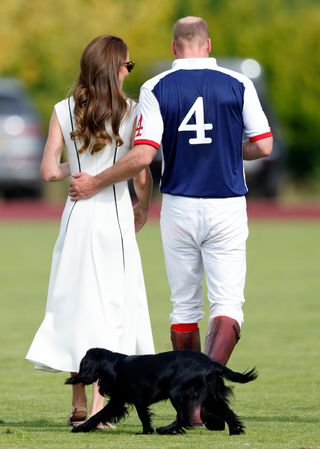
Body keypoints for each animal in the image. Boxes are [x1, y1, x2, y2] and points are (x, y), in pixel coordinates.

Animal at [65, 346, 258, 434]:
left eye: (82, 365)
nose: (74, 378)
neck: (116, 366)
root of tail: (210, 363)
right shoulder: (118, 401)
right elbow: (99, 415)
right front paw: (83, 427)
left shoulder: (137, 398)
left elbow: (143, 416)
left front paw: (146, 431)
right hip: (211, 397)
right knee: (227, 412)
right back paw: (235, 431)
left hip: (177, 393)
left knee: (184, 417)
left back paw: (165, 430)